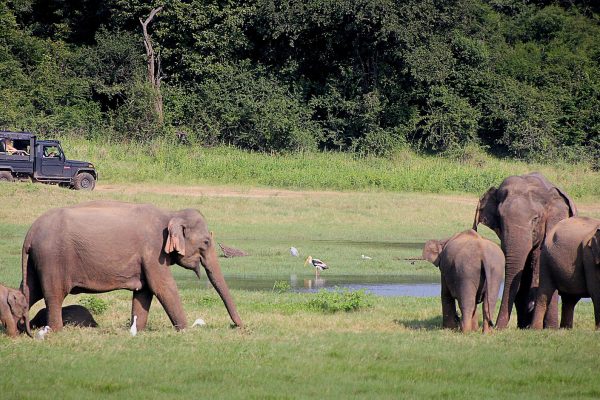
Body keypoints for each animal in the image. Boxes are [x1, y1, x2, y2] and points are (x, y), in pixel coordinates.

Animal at [21, 200, 241, 334]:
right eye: (206, 242)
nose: (237, 326)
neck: (171, 213)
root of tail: (30, 233)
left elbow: (144, 292)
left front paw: (138, 331)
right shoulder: (153, 251)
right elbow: (163, 287)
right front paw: (185, 330)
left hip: (37, 261)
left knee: (29, 292)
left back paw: (19, 329)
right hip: (52, 259)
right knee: (54, 294)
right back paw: (56, 331)